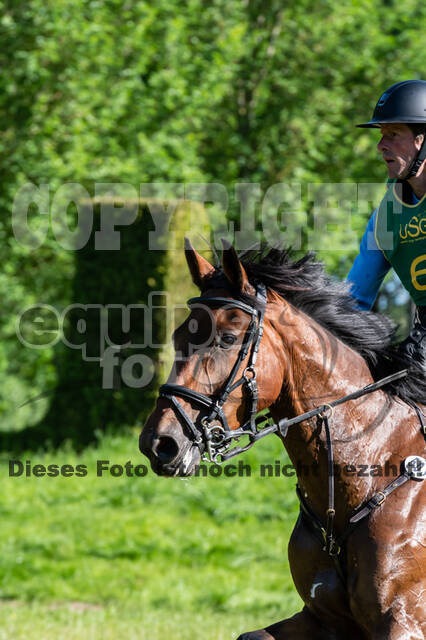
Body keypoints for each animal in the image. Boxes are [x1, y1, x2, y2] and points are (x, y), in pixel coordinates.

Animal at [139, 239, 426, 640]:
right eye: (178, 336)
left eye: (227, 339)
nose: (159, 443)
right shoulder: (322, 619)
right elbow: (250, 635)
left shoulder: (403, 622)